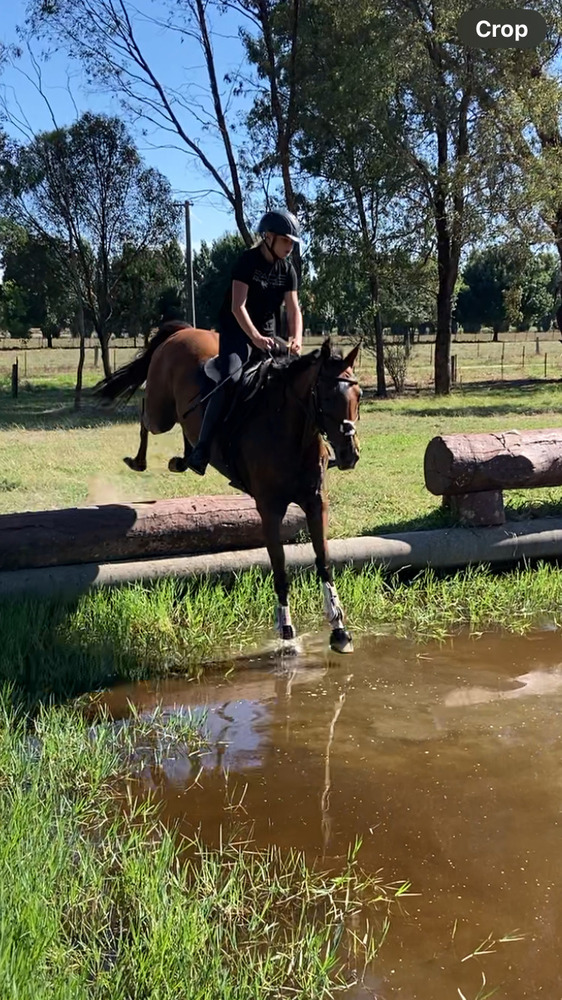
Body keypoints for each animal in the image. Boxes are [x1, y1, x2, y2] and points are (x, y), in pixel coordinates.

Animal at [92, 321, 362, 653]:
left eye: (359, 395)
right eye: (324, 398)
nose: (350, 455)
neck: (292, 433)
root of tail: (182, 331)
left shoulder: (316, 502)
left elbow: (324, 561)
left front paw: (339, 630)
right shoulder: (269, 508)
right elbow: (280, 567)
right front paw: (286, 631)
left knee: (189, 429)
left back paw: (188, 459)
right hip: (161, 413)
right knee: (145, 414)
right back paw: (140, 461)